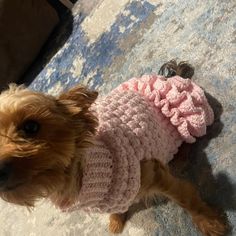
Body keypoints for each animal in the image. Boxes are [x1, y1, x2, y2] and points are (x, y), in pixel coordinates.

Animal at [0, 61, 229, 236]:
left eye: (31, 127)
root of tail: (171, 77)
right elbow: (118, 208)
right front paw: (116, 219)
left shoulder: (156, 174)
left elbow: (187, 198)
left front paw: (210, 223)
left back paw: (181, 157)